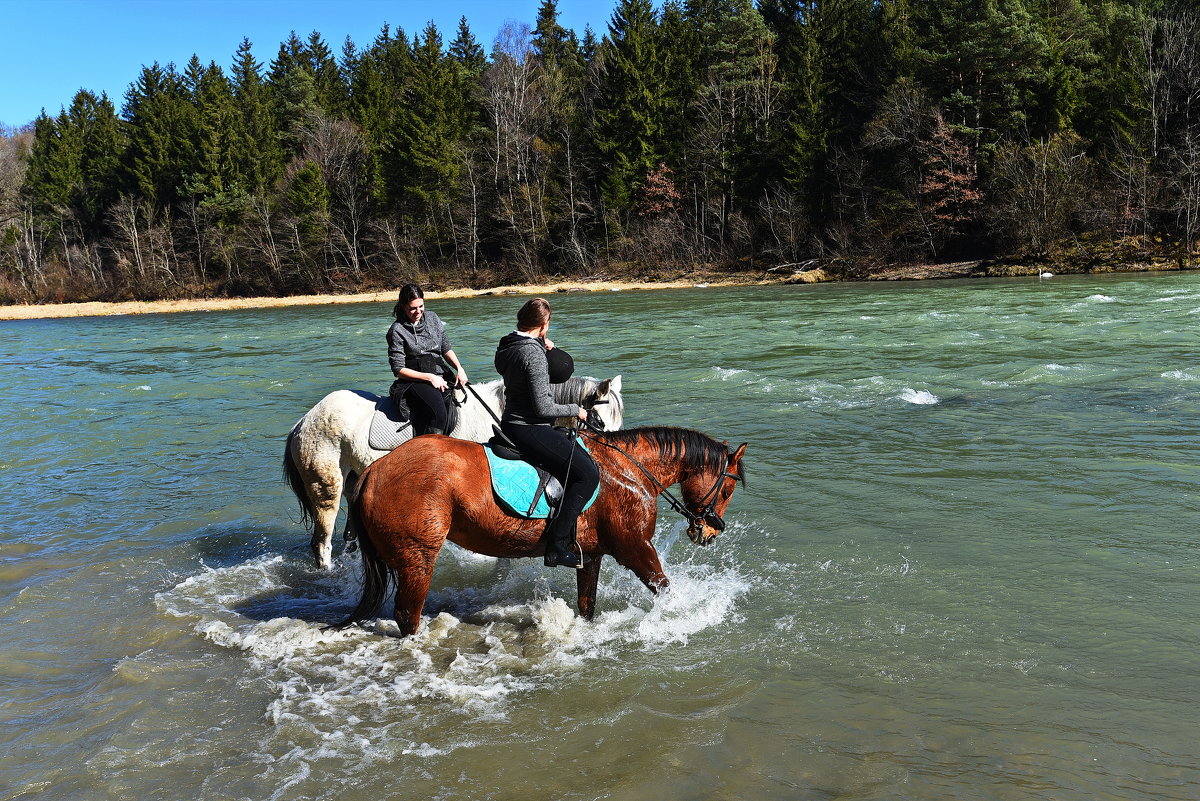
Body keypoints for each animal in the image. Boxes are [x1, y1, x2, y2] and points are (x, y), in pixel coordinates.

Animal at [338, 424, 744, 637]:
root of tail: (373, 470)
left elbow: (587, 605)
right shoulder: (635, 548)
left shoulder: (590, 555)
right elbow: (665, 589)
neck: (628, 470)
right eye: (727, 489)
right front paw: (680, 616)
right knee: (408, 615)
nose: (709, 533)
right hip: (417, 558)